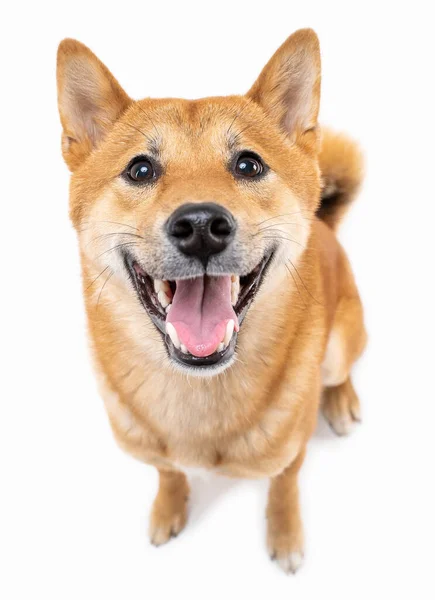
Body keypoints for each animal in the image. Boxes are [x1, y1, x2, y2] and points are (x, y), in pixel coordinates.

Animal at [56, 30, 366, 576]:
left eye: (249, 164)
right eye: (140, 168)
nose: (201, 225)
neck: (197, 395)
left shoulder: (292, 450)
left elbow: (284, 486)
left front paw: (284, 533)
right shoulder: (153, 452)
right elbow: (169, 473)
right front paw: (169, 507)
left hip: (338, 345)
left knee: (340, 368)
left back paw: (342, 398)